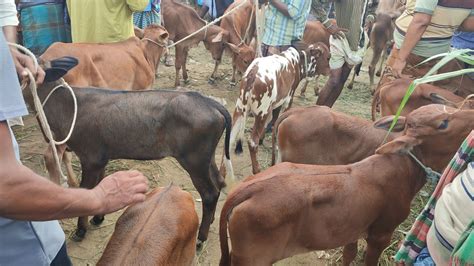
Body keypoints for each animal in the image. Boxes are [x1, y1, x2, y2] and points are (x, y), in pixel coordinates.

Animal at [220, 104, 474, 266]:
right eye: (443, 123)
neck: (403, 167)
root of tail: (248, 188)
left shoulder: (353, 227)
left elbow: (348, 254)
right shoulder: (381, 234)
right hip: (252, 259)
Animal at [230, 42, 330, 174]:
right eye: (328, 57)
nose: (330, 71)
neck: (298, 61)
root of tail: (252, 74)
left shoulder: (273, 104)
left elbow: (273, 118)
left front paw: (263, 139)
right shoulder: (288, 99)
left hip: (240, 108)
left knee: (230, 139)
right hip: (261, 112)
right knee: (252, 142)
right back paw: (257, 170)